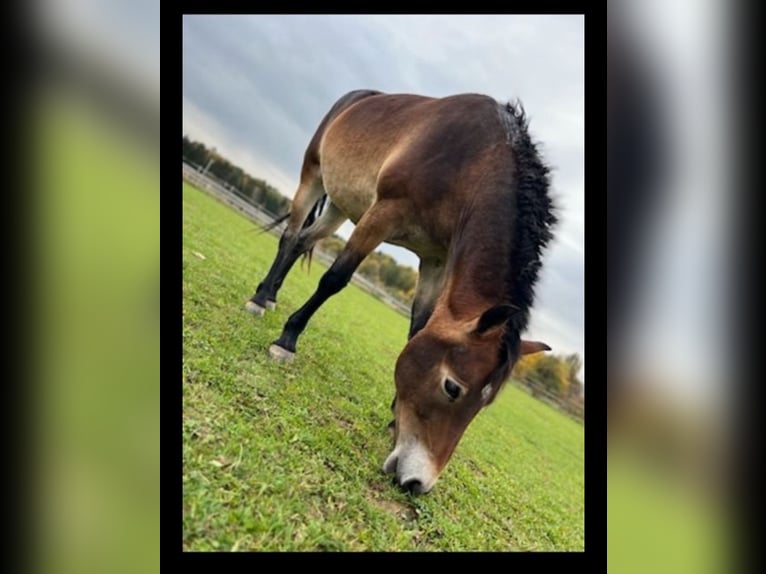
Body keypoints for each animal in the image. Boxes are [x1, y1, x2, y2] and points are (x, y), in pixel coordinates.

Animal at [246, 90, 560, 496]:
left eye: (483, 405)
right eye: (452, 388)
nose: (417, 483)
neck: (472, 163)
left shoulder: (435, 259)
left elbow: (418, 327)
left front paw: (396, 413)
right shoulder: (384, 213)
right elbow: (335, 279)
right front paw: (286, 341)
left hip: (341, 203)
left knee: (302, 242)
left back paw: (269, 296)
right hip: (314, 175)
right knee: (290, 236)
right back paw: (259, 299)